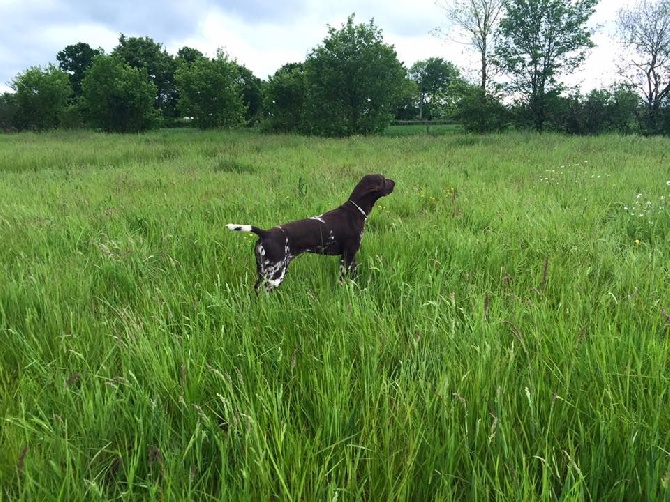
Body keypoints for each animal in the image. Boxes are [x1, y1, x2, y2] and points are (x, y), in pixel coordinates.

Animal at [228, 174, 396, 290]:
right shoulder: (348, 256)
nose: (395, 182)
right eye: (383, 179)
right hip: (275, 274)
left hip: (264, 271)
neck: (355, 211)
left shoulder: (349, 257)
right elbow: (343, 281)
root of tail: (265, 233)